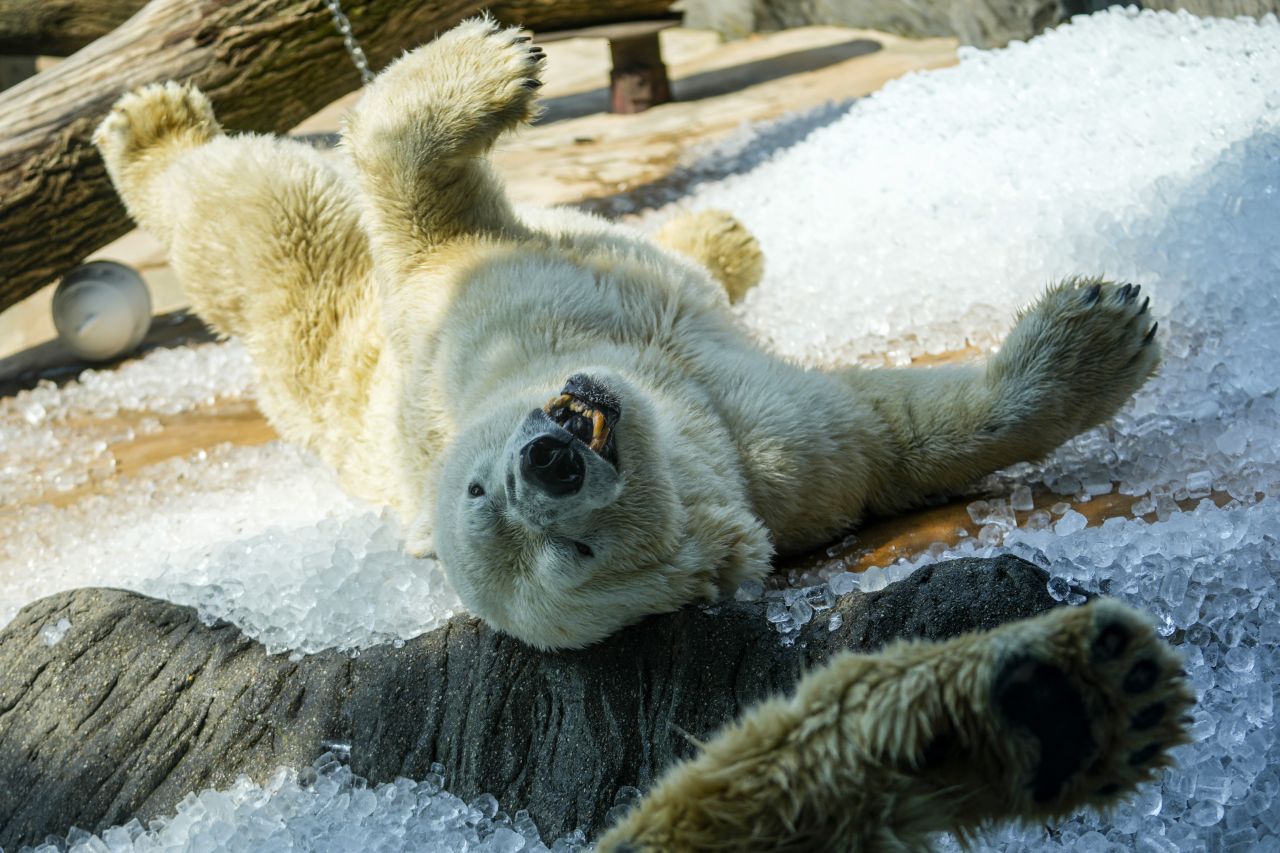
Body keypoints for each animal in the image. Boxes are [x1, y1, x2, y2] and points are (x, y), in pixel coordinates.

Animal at [97, 16, 1162, 648]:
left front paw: (497, 58)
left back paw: (719, 235)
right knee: (258, 229)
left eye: (478, 482)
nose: (549, 460)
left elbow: (429, 207)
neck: (664, 395)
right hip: (317, 345)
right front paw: (1104, 334)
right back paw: (148, 126)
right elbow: (891, 434)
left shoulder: (474, 318)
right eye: (570, 554)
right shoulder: (771, 466)